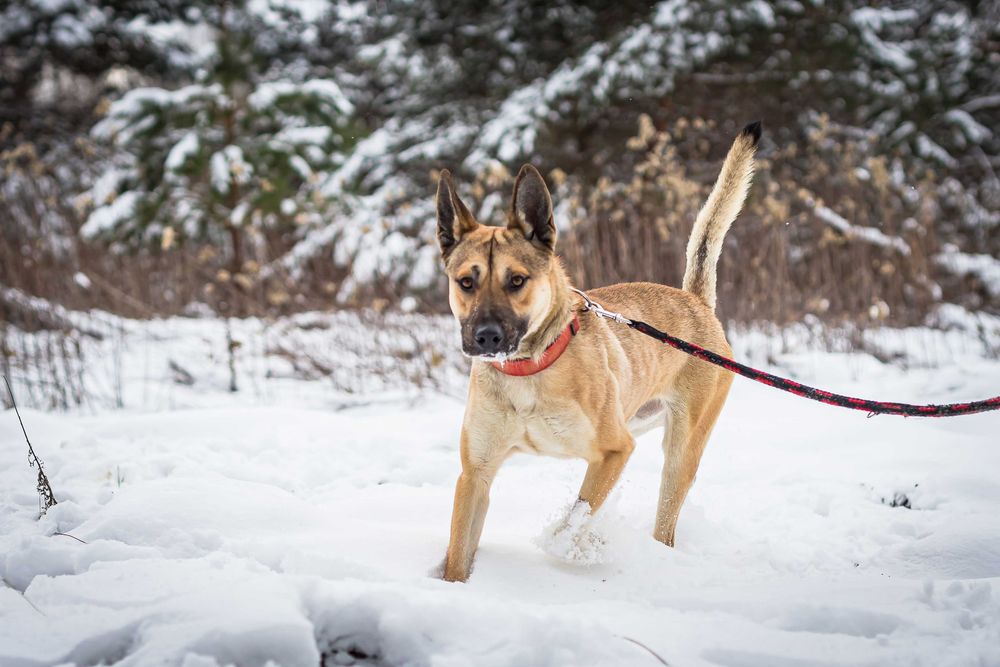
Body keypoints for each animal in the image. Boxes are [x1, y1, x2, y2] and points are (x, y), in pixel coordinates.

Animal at [436, 122, 756, 580]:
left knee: (666, 518)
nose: (486, 337)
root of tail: (694, 300)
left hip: (681, 451)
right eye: (466, 281)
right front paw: (451, 584)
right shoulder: (475, 475)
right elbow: (459, 553)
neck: (529, 371)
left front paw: (571, 546)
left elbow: (578, 513)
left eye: (516, 280)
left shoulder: (613, 451)